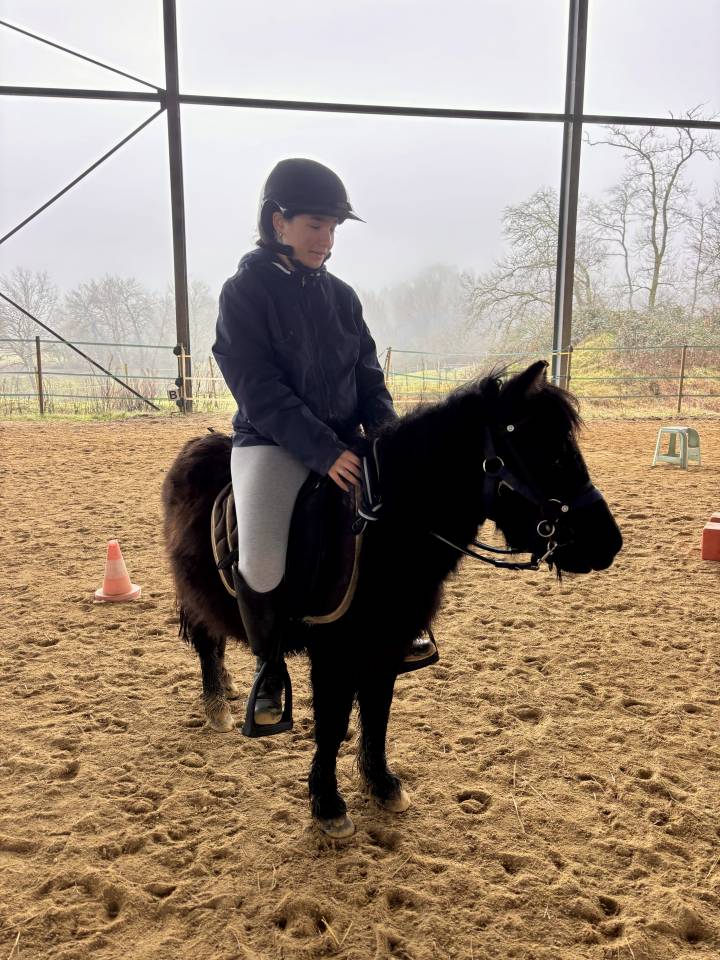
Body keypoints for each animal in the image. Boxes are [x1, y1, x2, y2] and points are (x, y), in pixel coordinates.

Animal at [162, 361, 623, 838]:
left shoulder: (386, 645)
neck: (385, 530)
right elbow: (333, 725)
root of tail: (195, 446)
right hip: (196, 595)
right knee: (208, 643)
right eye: (552, 455)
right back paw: (218, 706)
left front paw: (381, 784)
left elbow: (377, 714)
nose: (609, 542)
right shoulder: (333, 653)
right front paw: (328, 804)